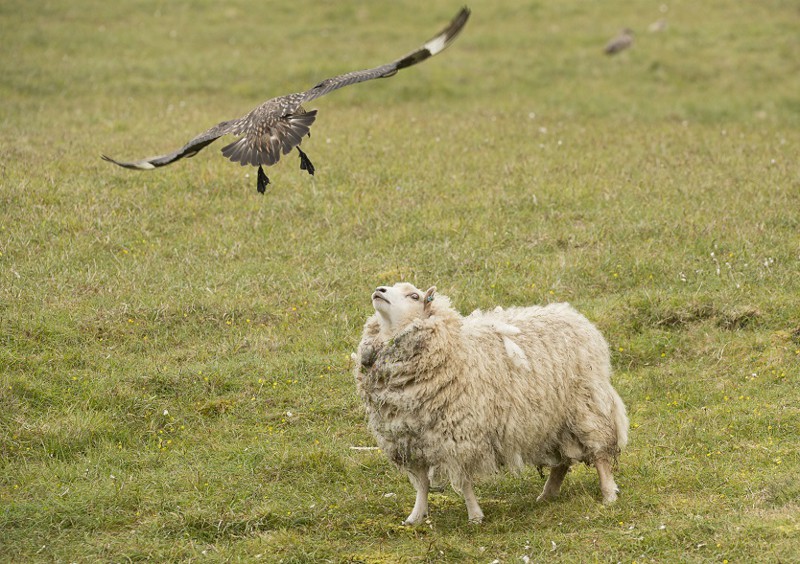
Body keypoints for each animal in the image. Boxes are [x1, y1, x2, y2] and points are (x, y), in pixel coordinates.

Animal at [354, 282, 628, 524]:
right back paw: (547, 495)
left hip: (586, 408)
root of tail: (574, 315)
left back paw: (608, 494)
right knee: (560, 463)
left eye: (414, 296)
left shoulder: (458, 438)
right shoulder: (409, 441)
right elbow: (421, 484)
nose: (379, 290)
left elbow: (464, 482)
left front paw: (475, 516)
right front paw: (416, 517)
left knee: (599, 454)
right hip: (551, 423)